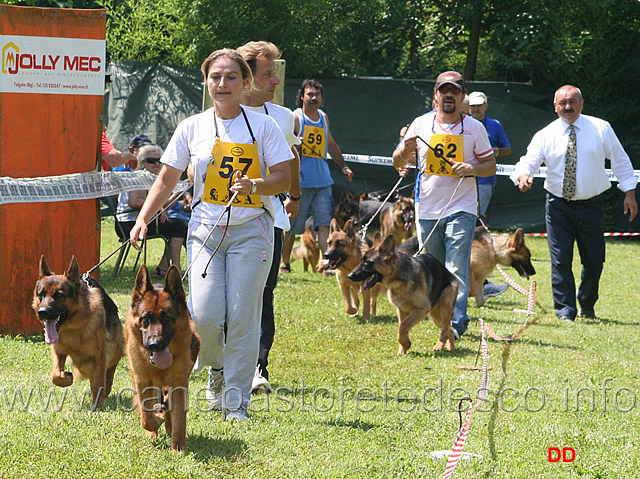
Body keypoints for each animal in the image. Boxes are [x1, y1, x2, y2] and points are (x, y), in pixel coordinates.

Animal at [32, 255, 125, 408]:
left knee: (110, 368)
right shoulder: (58, 350)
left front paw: (97, 405)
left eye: (59, 295)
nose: (42, 312)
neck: (74, 328)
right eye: (41, 295)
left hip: (113, 349)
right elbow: (55, 375)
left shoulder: (100, 355)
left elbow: (99, 382)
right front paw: (66, 377)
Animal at [125, 264, 200, 452]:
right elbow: (146, 416)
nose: (154, 344)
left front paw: (178, 446)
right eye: (145, 319)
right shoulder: (142, 380)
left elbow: (179, 417)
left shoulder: (179, 382)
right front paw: (155, 421)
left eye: (167, 318)